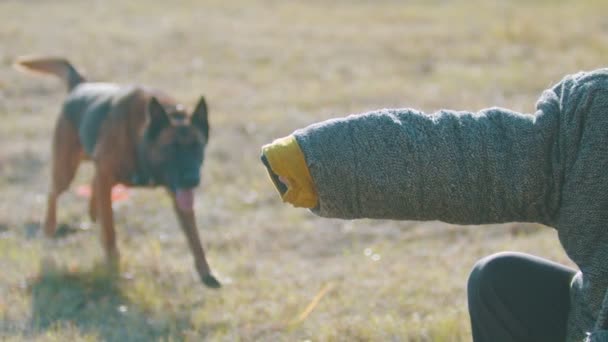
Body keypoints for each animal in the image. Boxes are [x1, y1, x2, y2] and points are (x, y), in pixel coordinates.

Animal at [14, 56, 221, 288]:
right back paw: (50, 228)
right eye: (171, 148)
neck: (142, 138)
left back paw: (92, 213)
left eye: (197, 147)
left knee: (92, 187)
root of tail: (80, 85)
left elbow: (194, 237)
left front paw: (206, 272)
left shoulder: (176, 193)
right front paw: (113, 266)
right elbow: (110, 230)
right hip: (66, 171)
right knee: (53, 193)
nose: (192, 179)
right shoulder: (107, 174)